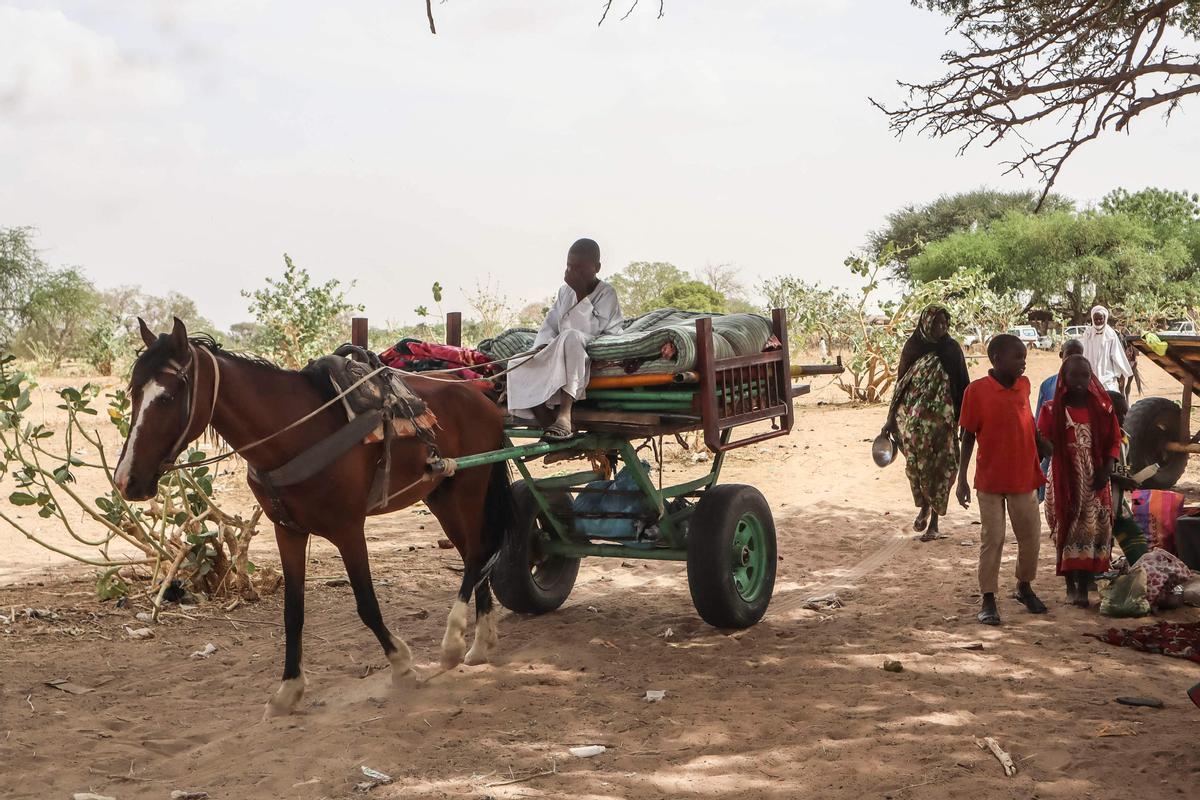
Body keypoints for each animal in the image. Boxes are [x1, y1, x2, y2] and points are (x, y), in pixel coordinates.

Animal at [110, 319, 508, 719]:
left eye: (167, 397)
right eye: (133, 393)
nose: (126, 480)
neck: (294, 433)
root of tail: (481, 397)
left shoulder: (348, 529)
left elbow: (366, 603)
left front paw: (401, 664)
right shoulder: (288, 531)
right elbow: (293, 612)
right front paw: (288, 689)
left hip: (469, 486)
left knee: (477, 553)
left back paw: (454, 642)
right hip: (441, 494)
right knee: (474, 554)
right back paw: (480, 642)